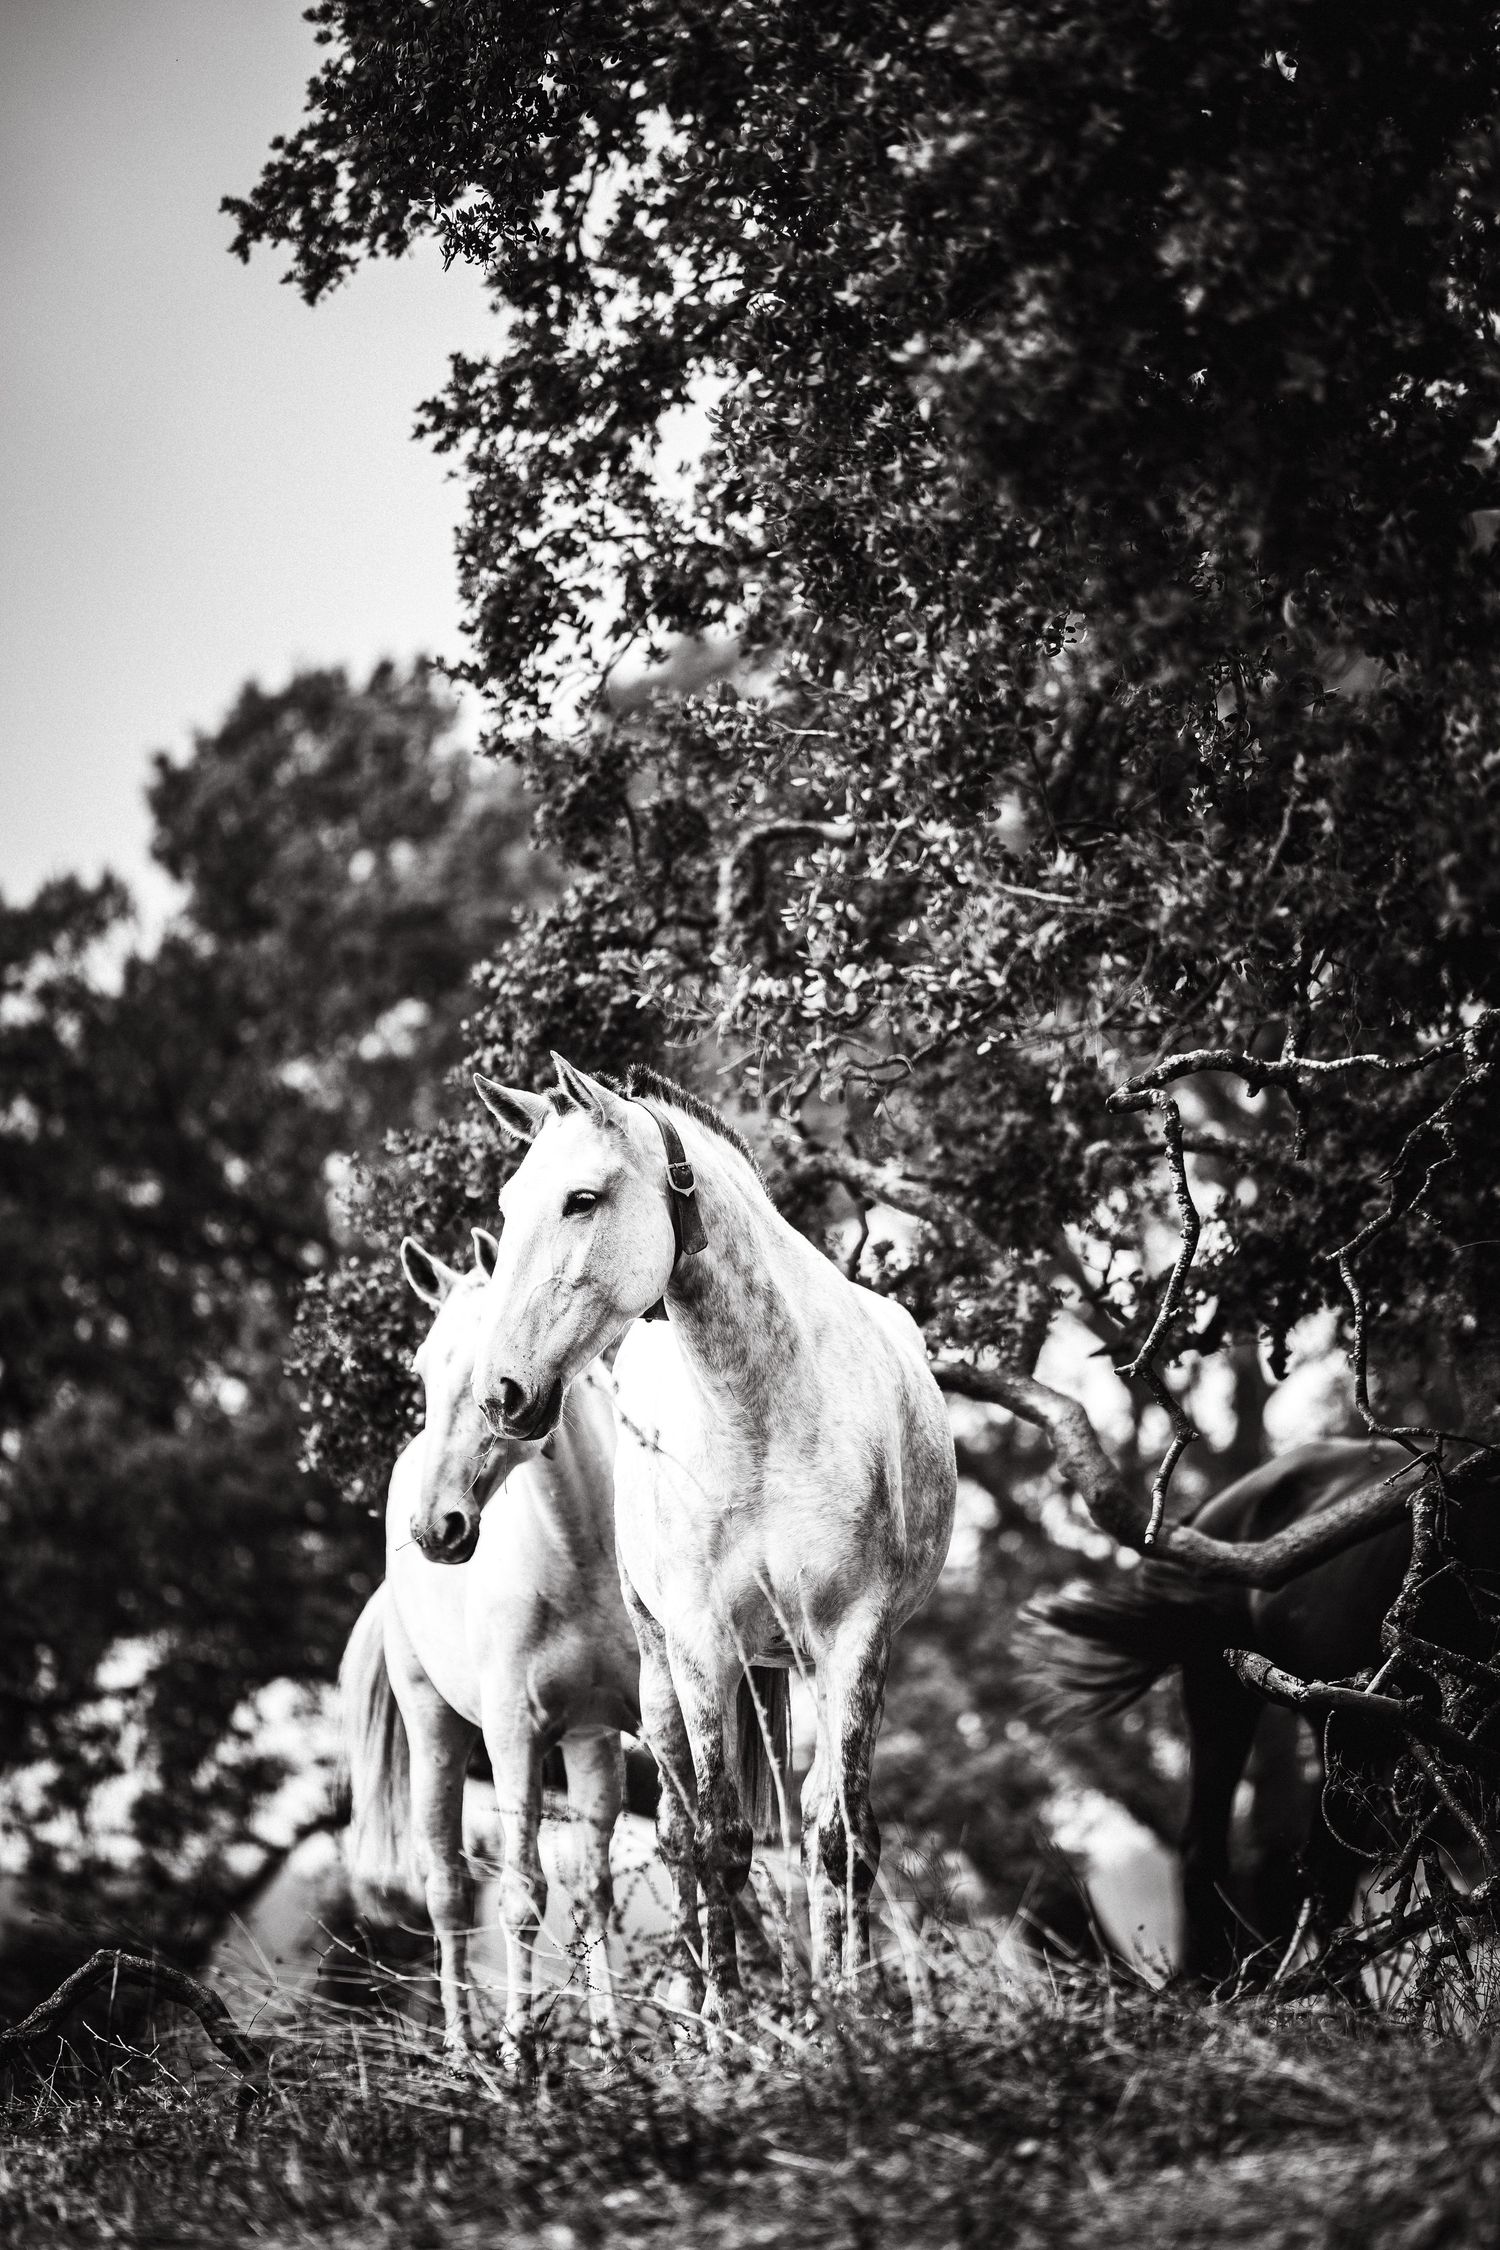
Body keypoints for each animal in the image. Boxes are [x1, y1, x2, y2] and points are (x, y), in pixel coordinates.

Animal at [339, 1228, 640, 2059]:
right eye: (420, 1368)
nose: (434, 1527)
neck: (582, 1553)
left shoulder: (631, 1721)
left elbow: (626, 1876)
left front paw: (625, 2044)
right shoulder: (513, 1736)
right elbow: (520, 1896)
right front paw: (519, 2052)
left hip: (587, 1742)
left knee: (586, 1886)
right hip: (435, 1728)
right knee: (446, 1886)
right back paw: (466, 2046)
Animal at [466, 1055, 957, 2020]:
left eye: (582, 1199)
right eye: (507, 1205)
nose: (504, 1394)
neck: (759, 1409)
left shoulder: (854, 1639)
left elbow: (841, 1840)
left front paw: (851, 2016)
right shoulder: (702, 1642)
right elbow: (720, 1840)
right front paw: (732, 2021)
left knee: (824, 1820)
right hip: (661, 1672)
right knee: (678, 1832)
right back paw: (697, 2017)